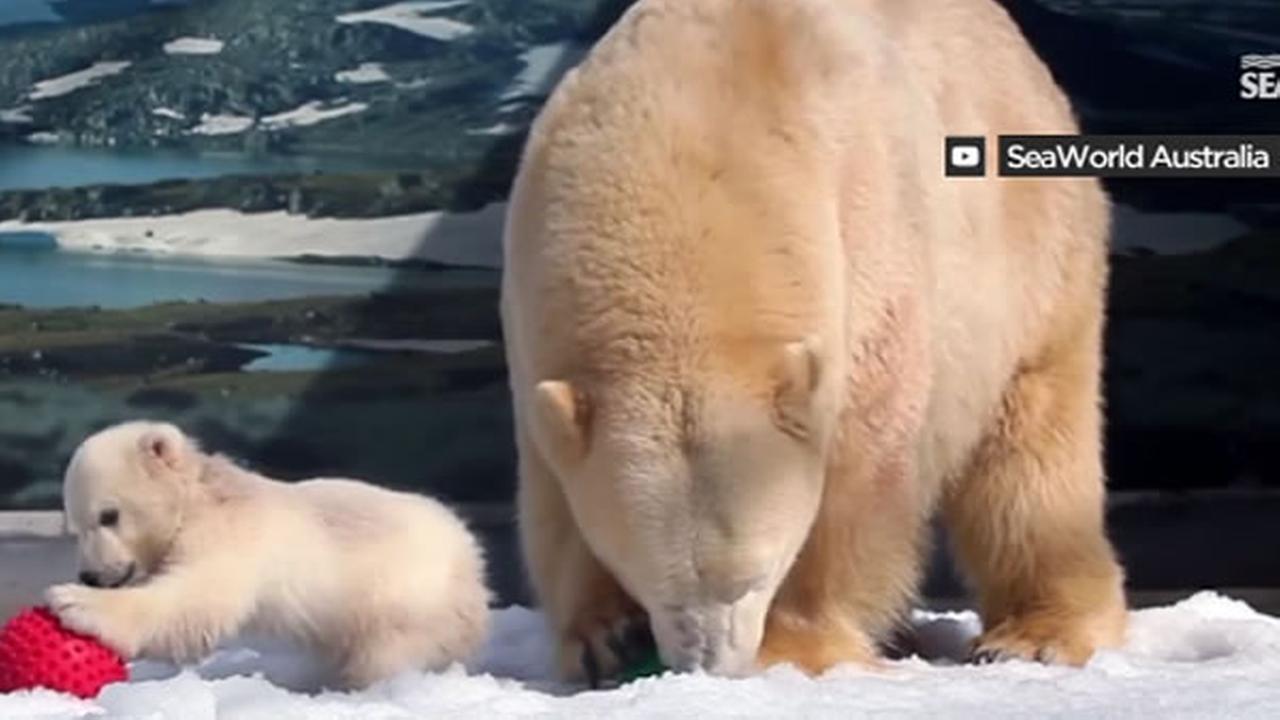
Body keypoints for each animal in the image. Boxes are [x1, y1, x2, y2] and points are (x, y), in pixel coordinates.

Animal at [499, 0, 1121, 676]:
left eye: (753, 578)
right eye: (653, 583)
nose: (712, 665)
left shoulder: (865, 247)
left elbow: (855, 470)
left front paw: (798, 647)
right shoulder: (536, 324)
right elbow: (552, 495)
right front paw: (604, 635)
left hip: (1033, 267)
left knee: (1031, 459)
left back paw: (1037, 634)